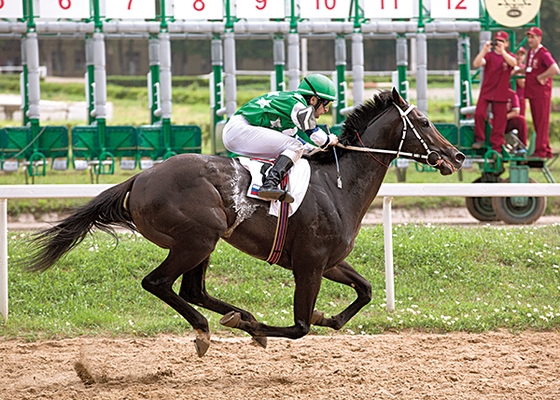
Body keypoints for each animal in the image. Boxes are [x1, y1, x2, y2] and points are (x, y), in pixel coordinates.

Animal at [24, 90, 464, 356]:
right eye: (425, 122)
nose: (457, 157)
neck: (338, 184)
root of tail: (140, 179)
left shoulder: (329, 261)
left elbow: (366, 290)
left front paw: (325, 317)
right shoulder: (309, 264)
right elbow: (300, 326)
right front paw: (263, 329)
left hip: (203, 241)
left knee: (193, 289)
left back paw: (235, 316)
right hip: (198, 238)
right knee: (159, 283)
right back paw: (210, 327)